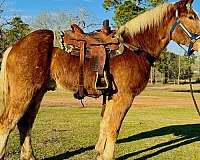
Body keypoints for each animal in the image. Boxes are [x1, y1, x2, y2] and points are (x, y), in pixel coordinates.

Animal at [0, 0, 200, 159]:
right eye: (191, 17)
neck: (135, 48)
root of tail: (15, 45)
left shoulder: (112, 97)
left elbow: (105, 125)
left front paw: (100, 153)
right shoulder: (124, 98)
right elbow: (113, 129)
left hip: (37, 94)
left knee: (25, 124)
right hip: (24, 94)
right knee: (7, 124)